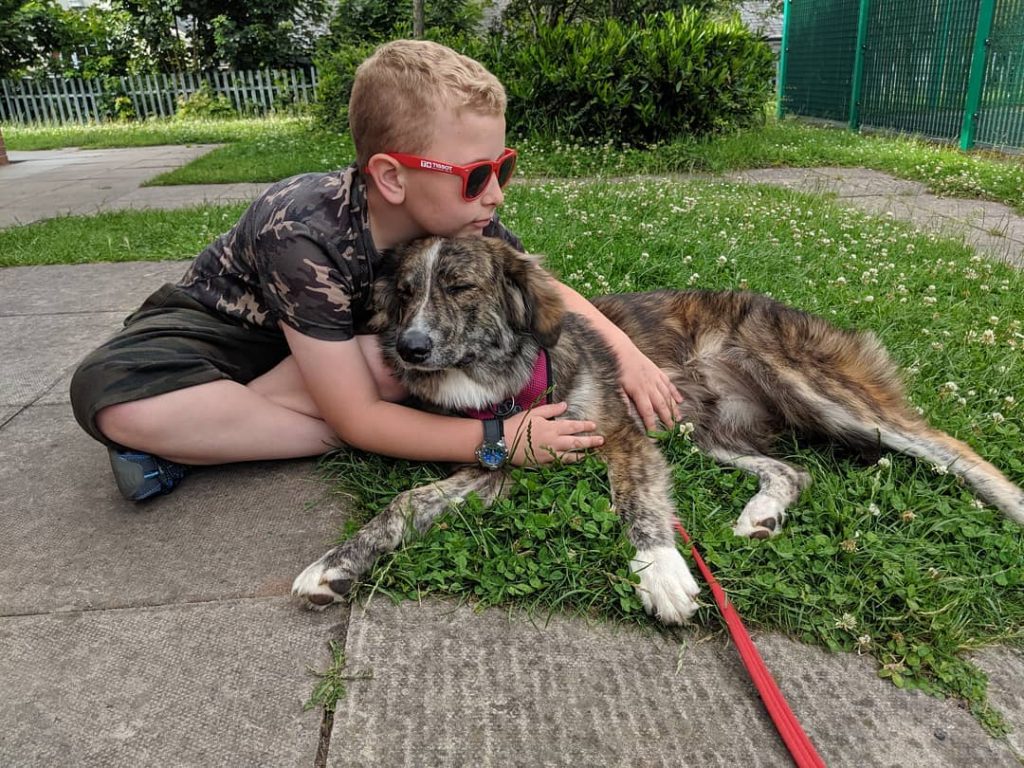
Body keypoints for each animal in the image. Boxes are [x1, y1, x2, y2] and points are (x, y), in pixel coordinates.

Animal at [290, 236, 1024, 626]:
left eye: (462, 287)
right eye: (404, 293)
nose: (408, 349)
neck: (515, 372)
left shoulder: (624, 437)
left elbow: (635, 502)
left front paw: (662, 570)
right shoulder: (497, 460)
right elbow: (404, 503)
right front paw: (335, 563)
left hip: (823, 389)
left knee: (954, 450)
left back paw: (1010, 501)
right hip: (706, 429)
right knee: (794, 468)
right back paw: (761, 513)